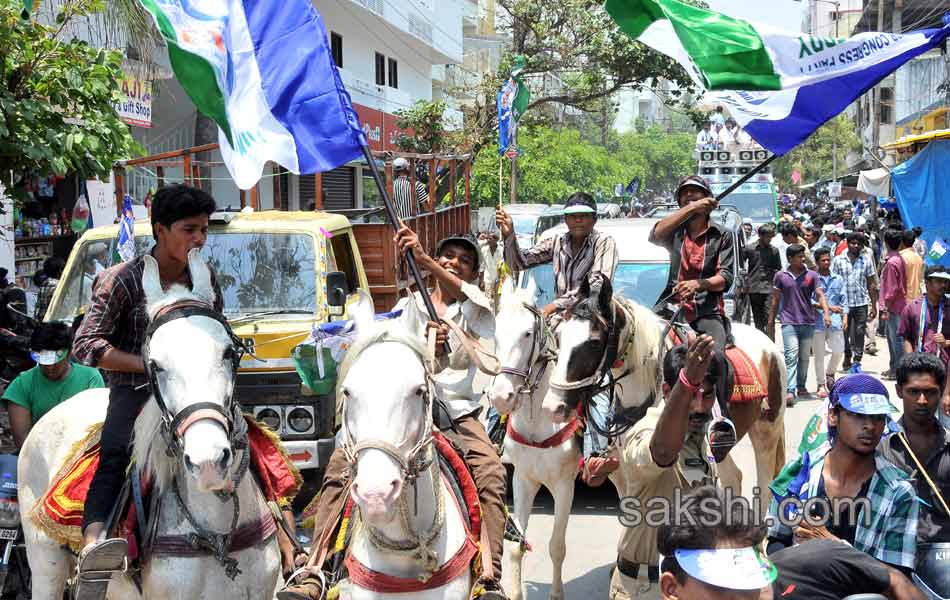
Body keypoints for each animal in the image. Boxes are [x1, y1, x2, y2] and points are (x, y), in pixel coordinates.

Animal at [490, 282, 580, 600]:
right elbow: (516, 546)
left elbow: (557, 546)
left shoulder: (564, 485)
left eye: (528, 333)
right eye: (495, 332)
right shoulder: (523, 480)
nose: (500, 397)